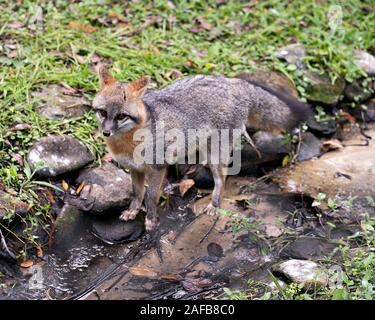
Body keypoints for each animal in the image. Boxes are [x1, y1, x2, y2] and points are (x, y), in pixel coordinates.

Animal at [92, 65, 312, 230]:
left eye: (121, 116)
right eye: (102, 113)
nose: (106, 132)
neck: (130, 141)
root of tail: (234, 83)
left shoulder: (158, 167)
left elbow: (150, 196)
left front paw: (151, 221)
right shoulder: (135, 169)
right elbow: (137, 194)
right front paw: (133, 211)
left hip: (217, 155)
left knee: (222, 178)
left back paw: (214, 204)